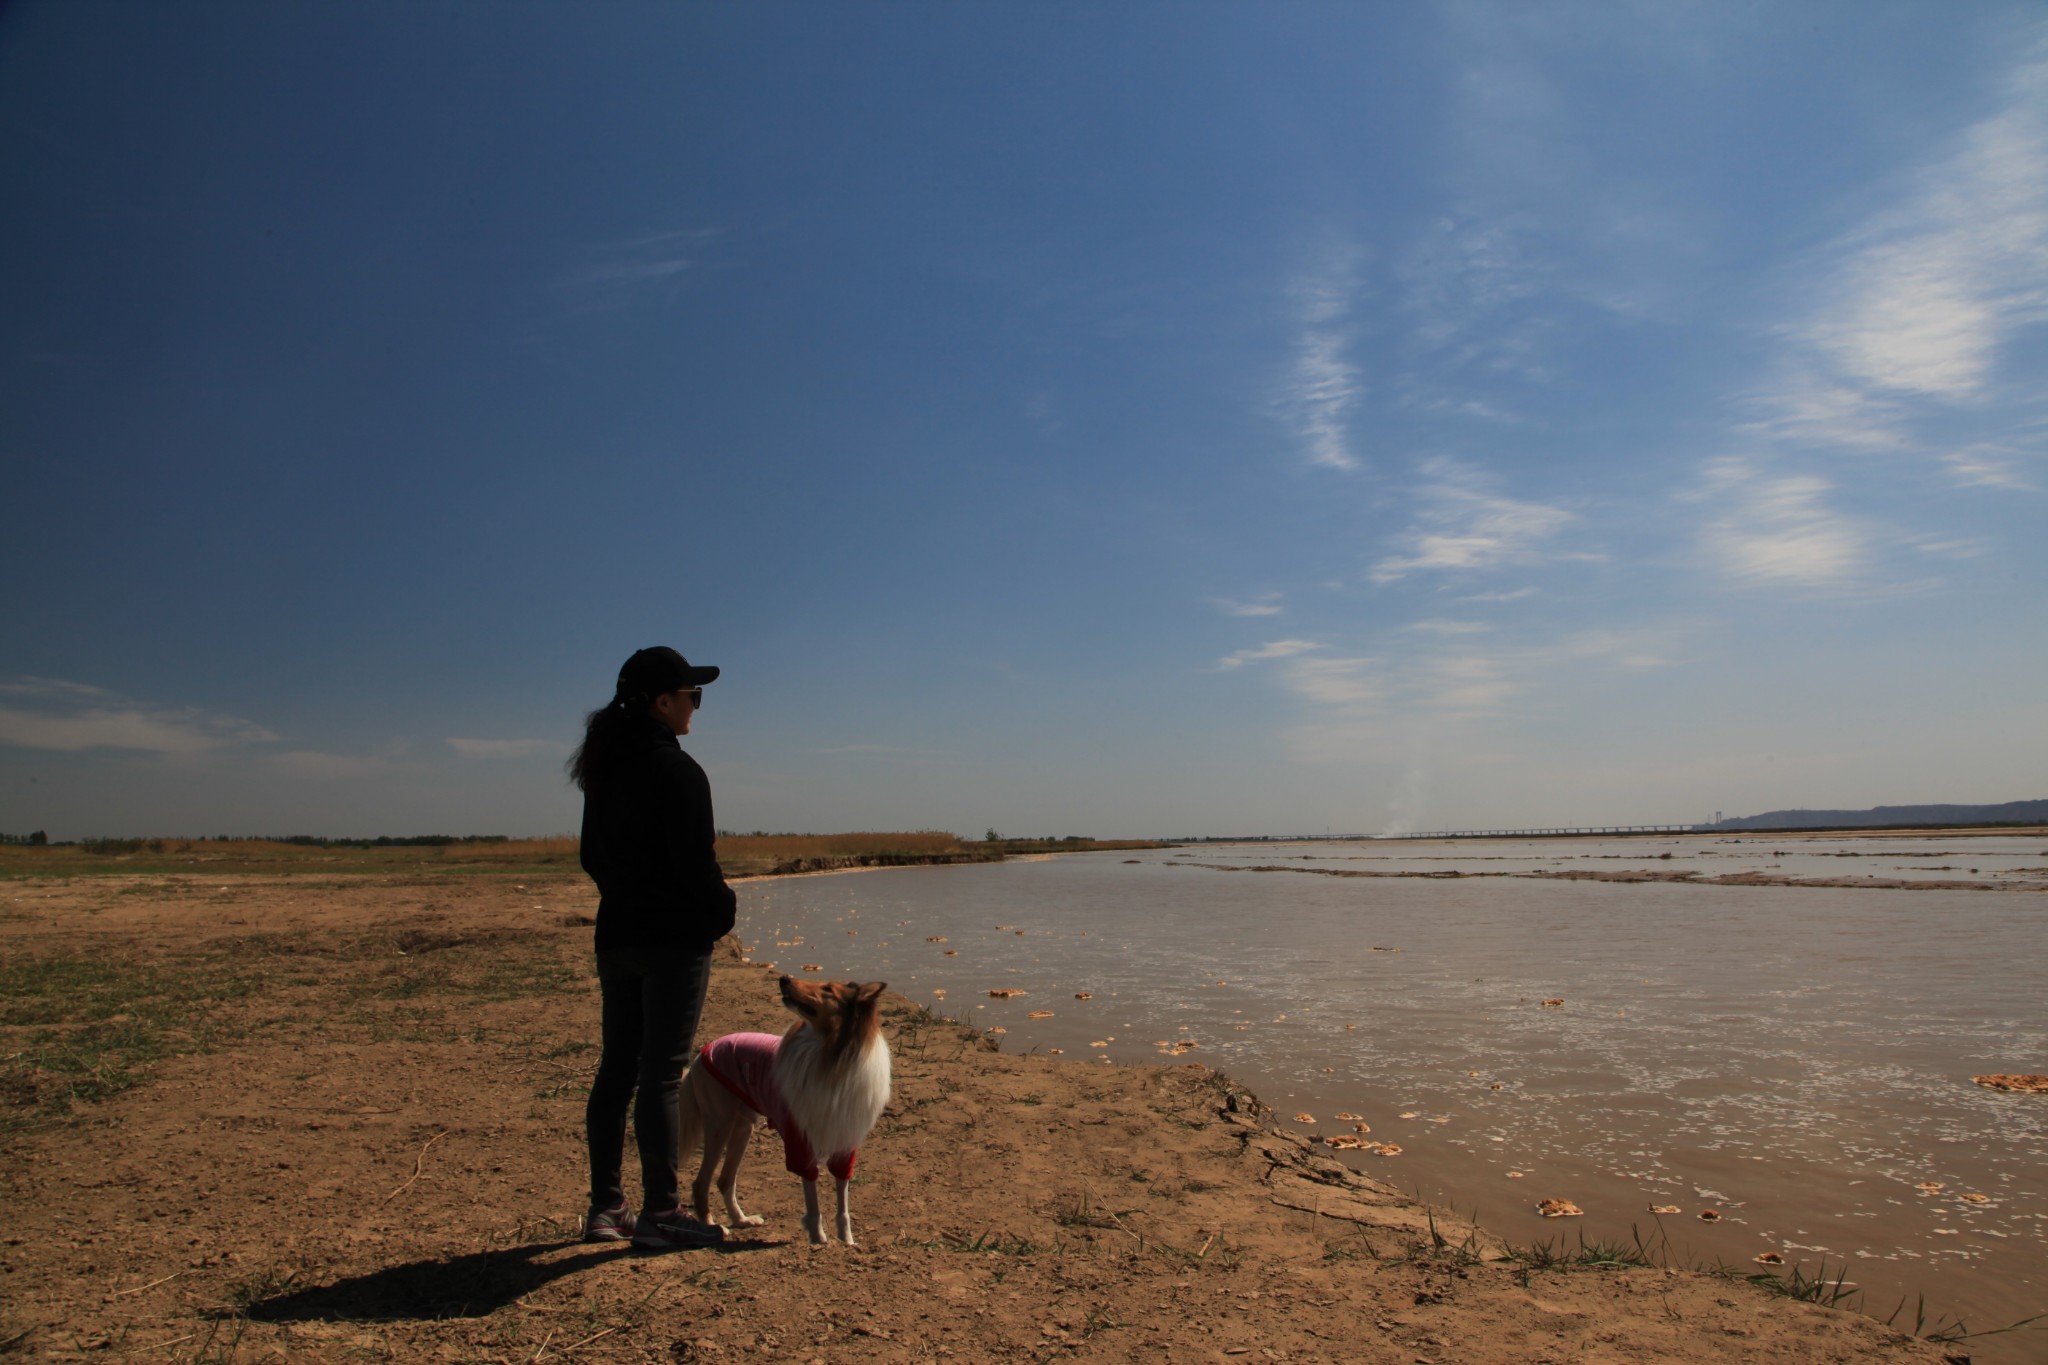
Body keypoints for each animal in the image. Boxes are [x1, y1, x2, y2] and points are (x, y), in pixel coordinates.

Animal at [679, 970, 888, 1252]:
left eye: (828, 990)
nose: (784, 979)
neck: (831, 1055)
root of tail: (702, 1054)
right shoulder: (800, 1143)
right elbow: (812, 1199)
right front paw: (818, 1239)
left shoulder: (844, 1143)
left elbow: (842, 1202)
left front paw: (847, 1240)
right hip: (719, 1126)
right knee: (701, 1182)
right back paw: (712, 1226)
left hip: (741, 1128)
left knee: (724, 1179)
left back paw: (742, 1220)